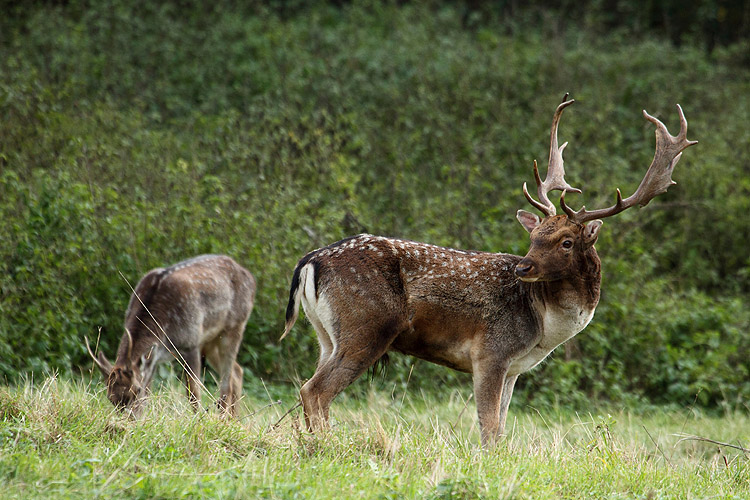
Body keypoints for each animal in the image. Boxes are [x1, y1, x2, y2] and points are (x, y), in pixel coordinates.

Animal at [86, 256, 258, 416]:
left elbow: (193, 392)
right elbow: (149, 392)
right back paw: (233, 419)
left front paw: (197, 419)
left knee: (226, 383)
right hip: (210, 341)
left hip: (235, 325)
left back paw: (224, 419)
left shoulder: (191, 343)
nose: (129, 419)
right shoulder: (154, 357)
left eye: (137, 389)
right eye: (110, 398)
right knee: (237, 372)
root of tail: (250, 276)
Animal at [282, 94, 700, 446]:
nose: (524, 267)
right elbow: (489, 428)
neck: (544, 328)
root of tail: (310, 261)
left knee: (311, 388)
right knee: (314, 391)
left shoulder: (513, 368)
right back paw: (327, 446)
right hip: (368, 325)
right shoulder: (490, 352)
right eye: (535, 236)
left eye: (565, 241)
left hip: (327, 335)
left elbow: (500, 427)